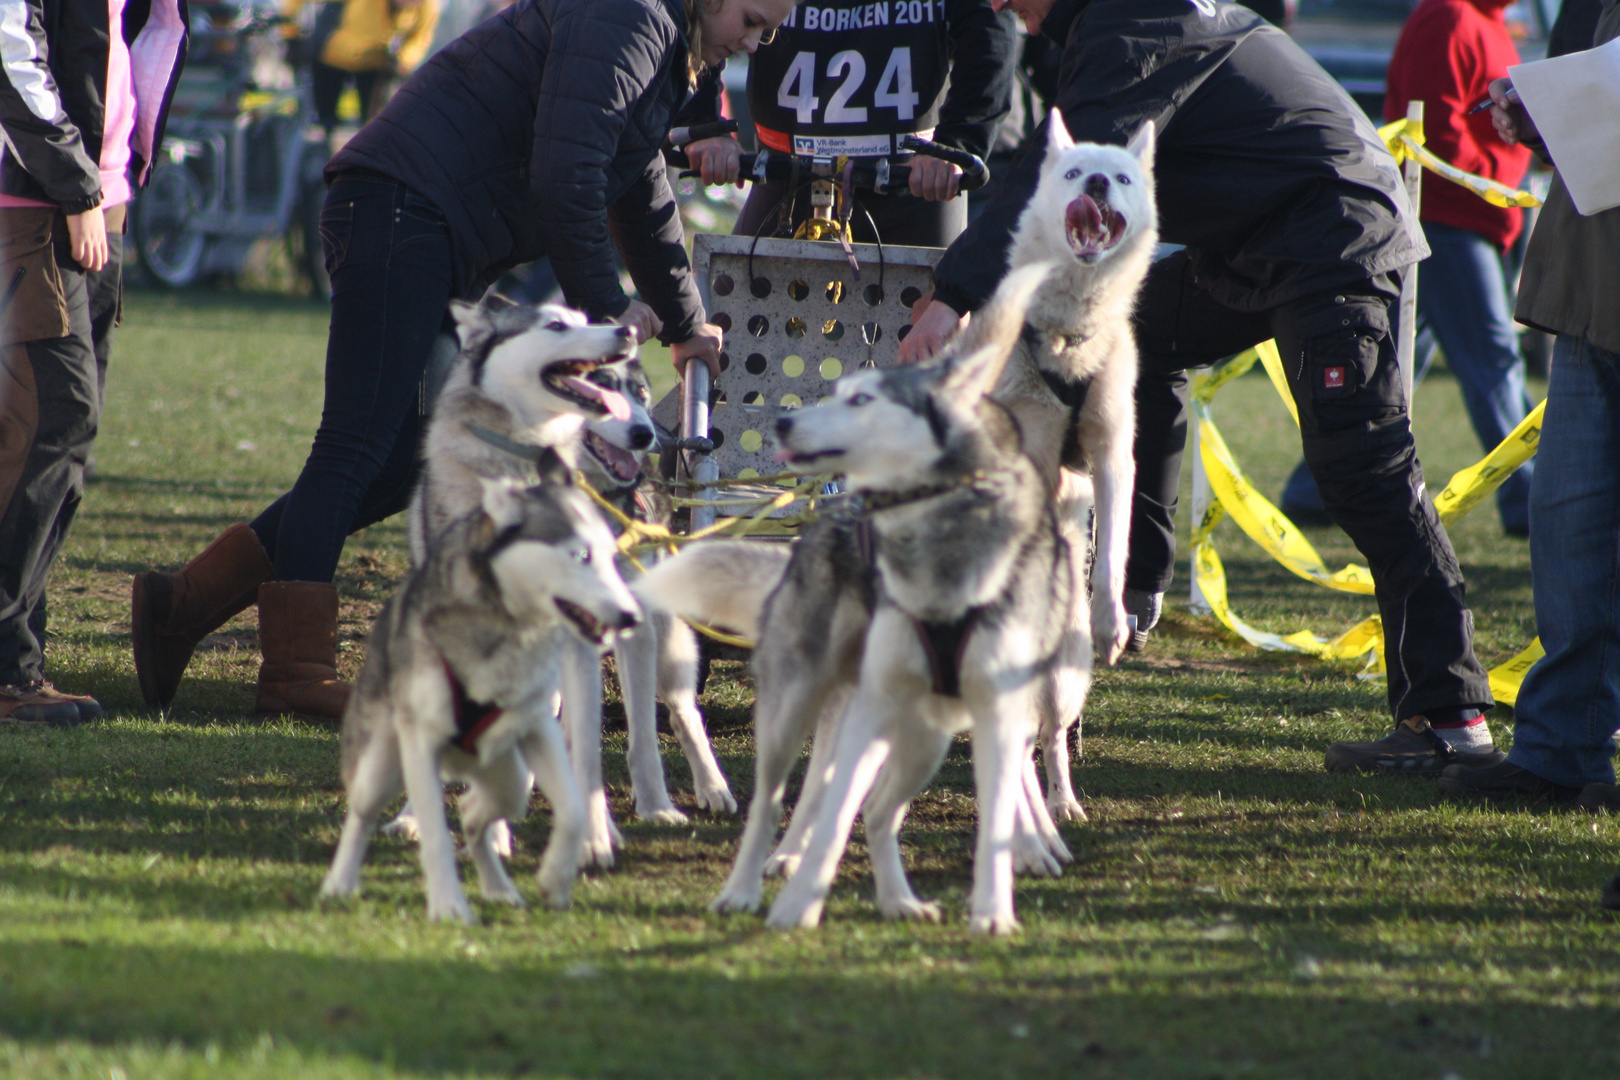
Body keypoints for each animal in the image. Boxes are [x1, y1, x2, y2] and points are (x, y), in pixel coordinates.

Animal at [319, 469, 641, 926]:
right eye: (580, 555)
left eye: (612, 558)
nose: (631, 617)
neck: (508, 629)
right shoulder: (421, 739)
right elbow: (434, 830)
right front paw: (449, 905)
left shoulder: (536, 724)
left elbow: (575, 810)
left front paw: (556, 877)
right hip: (381, 762)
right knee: (362, 813)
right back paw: (340, 883)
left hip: (507, 772)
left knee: (477, 811)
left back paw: (499, 888)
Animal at [635, 263, 1075, 939]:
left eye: (865, 401)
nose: (788, 425)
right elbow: (833, 803)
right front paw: (799, 890)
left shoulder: (998, 708)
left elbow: (1002, 796)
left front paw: (1007, 884)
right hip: (805, 707)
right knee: (790, 797)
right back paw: (759, 876)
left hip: (922, 731)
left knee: (879, 804)